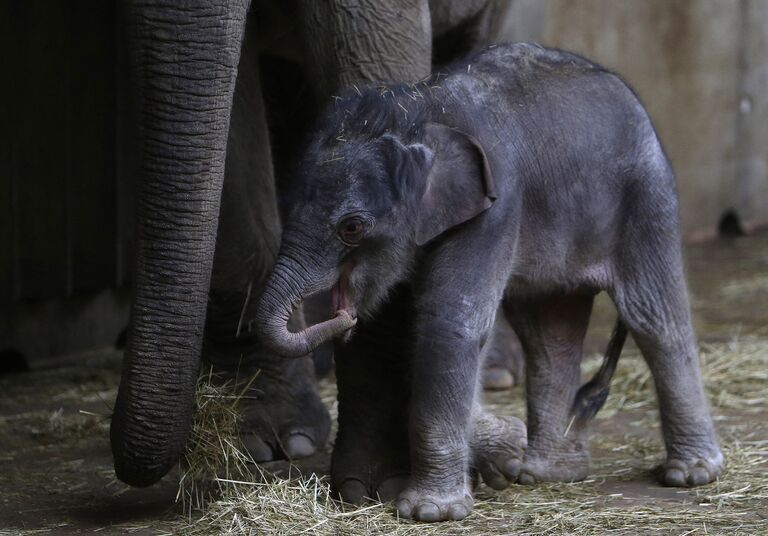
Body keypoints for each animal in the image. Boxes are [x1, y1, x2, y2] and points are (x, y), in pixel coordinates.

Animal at [256, 44, 720, 520]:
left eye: (352, 227)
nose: (344, 318)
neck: (417, 111)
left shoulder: (495, 206)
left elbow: (447, 322)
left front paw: (431, 512)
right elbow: (416, 331)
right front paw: (503, 452)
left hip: (646, 194)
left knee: (653, 317)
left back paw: (691, 474)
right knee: (549, 333)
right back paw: (545, 472)